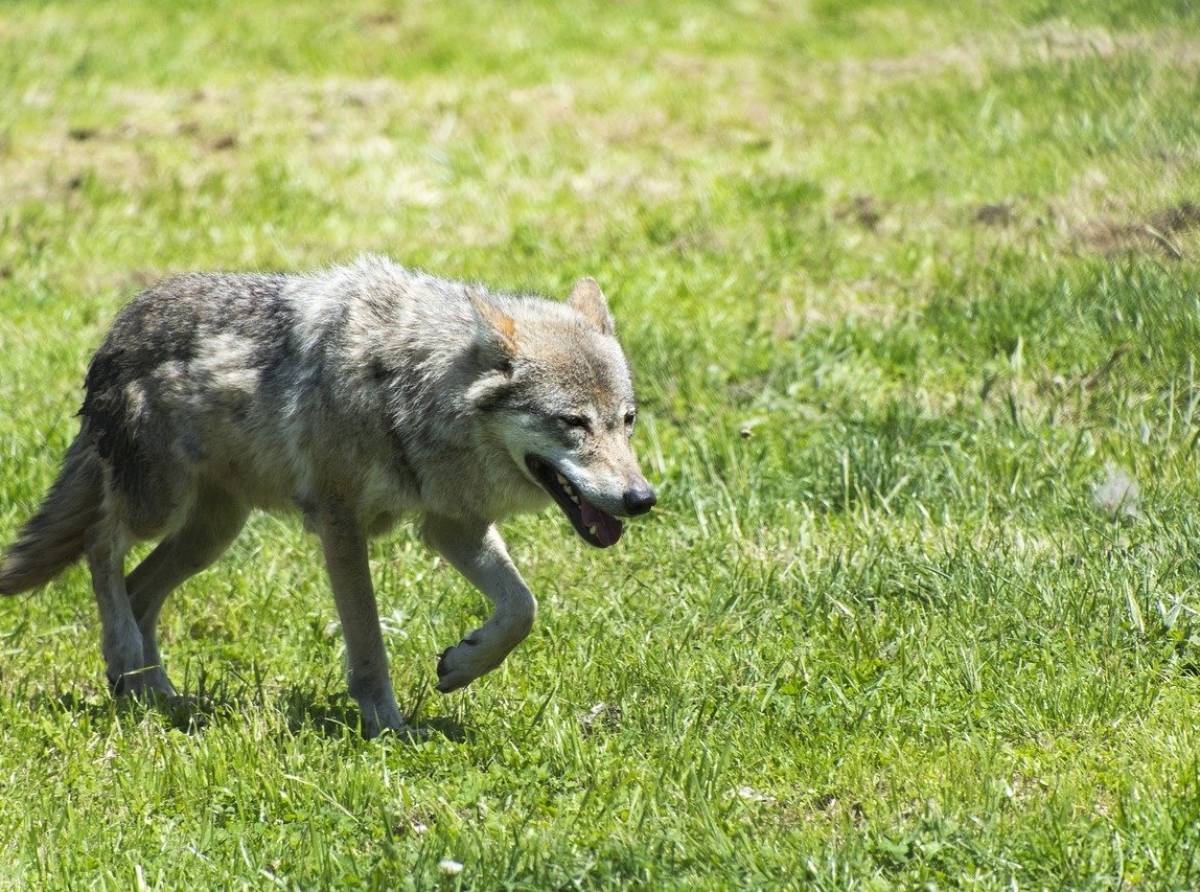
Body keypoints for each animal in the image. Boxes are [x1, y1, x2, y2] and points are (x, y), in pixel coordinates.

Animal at [0, 258, 657, 739]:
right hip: (157, 506)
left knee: (139, 587)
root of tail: (117, 329)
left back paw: (155, 694)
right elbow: (368, 643)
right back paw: (124, 661)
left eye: (626, 421)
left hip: (212, 534)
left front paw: (462, 665)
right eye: (573, 423)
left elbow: (523, 608)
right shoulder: (341, 525)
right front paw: (390, 729)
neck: (410, 385)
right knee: (99, 543)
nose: (642, 498)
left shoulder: (453, 525)